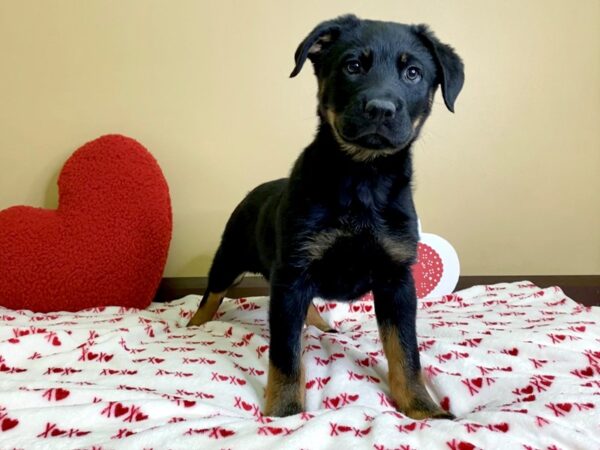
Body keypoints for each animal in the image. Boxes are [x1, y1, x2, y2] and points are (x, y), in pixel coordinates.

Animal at [188, 14, 464, 422]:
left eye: (413, 73)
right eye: (352, 66)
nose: (381, 109)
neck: (363, 178)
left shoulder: (396, 278)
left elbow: (406, 350)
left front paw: (422, 408)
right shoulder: (293, 273)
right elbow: (286, 354)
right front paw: (285, 412)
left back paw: (320, 324)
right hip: (231, 257)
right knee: (212, 293)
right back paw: (193, 325)